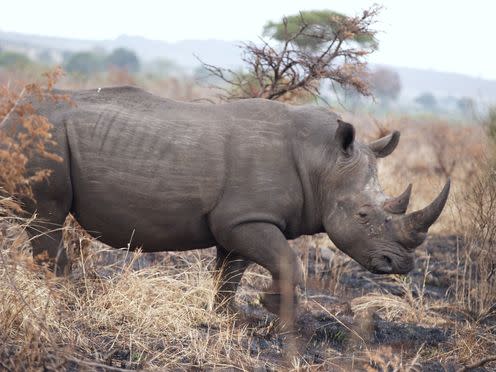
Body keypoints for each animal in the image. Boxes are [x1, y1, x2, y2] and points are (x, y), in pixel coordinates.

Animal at [0, 86, 450, 314]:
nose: (401, 265)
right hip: (41, 136)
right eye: (363, 214)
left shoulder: (241, 219)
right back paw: (74, 301)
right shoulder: (247, 218)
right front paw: (272, 306)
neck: (322, 161)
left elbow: (230, 273)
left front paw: (225, 316)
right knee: (47, 220)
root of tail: (13, 111)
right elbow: (286, 260)